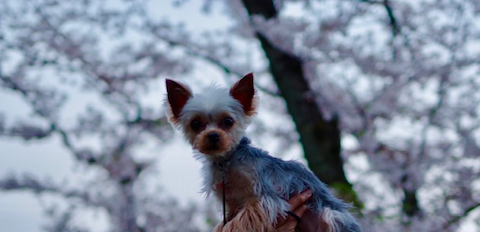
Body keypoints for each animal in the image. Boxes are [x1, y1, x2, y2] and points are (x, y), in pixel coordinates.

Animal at [165, 74, 360, 232]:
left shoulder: (265, 199)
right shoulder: (231, 205)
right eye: (195, 124)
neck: (226, 161)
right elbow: (225, 222)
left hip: (329, 216)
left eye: (228, 121)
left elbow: (240, 221)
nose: (213, 135)